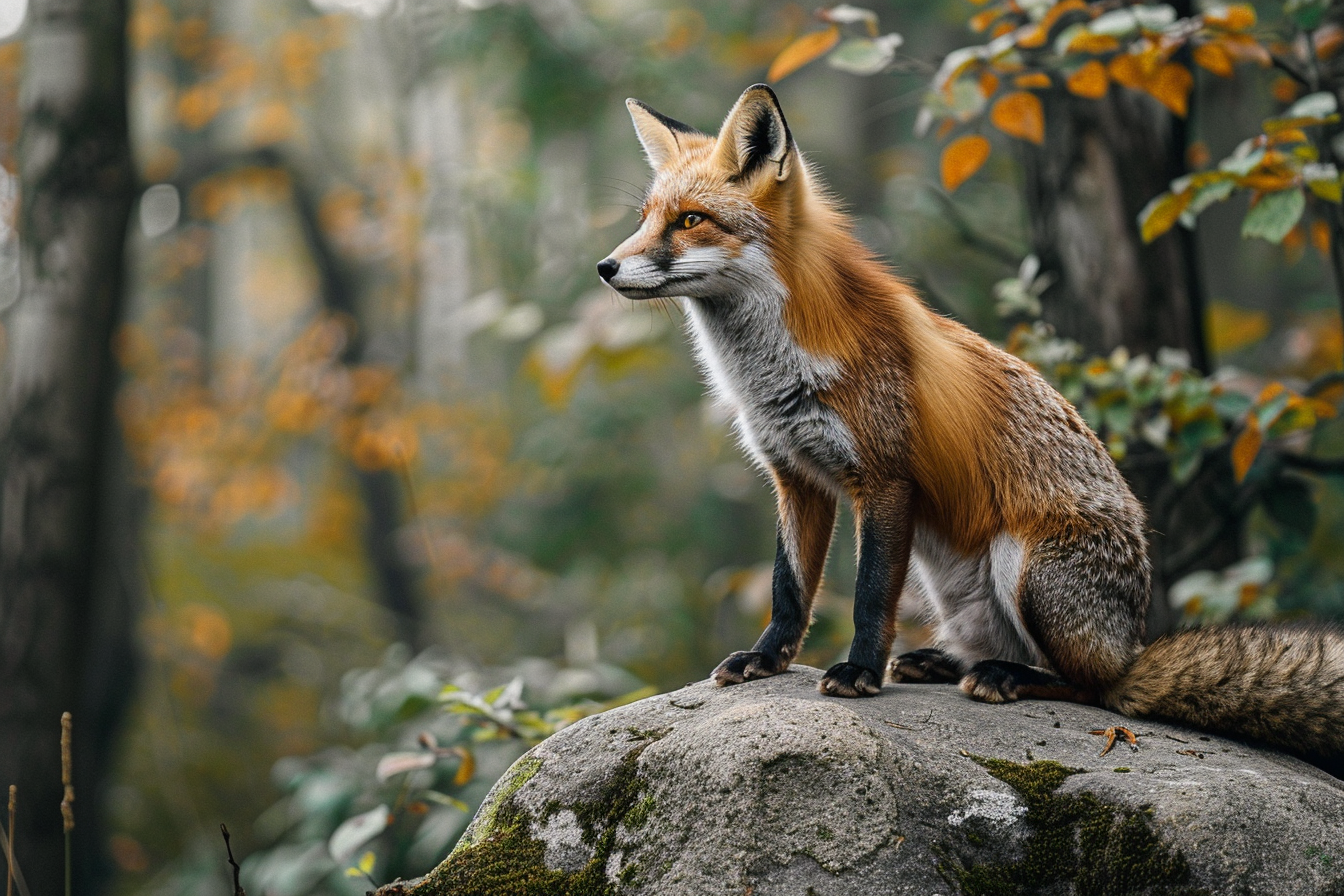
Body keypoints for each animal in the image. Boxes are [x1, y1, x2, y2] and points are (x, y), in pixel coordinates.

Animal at [597, 84, 1344, 776]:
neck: (774, 369)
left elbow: (869, 595)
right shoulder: (795, 479)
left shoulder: (885, 481)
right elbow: (789, 588)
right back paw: (944, 663)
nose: (605, 267)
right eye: (645, 220)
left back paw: (1007, 679)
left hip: (1025, 562)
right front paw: (767, 658)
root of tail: (1131, 643)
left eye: (691, 221)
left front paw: (859, 672)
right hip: (950, 584)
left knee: (1093, 688)